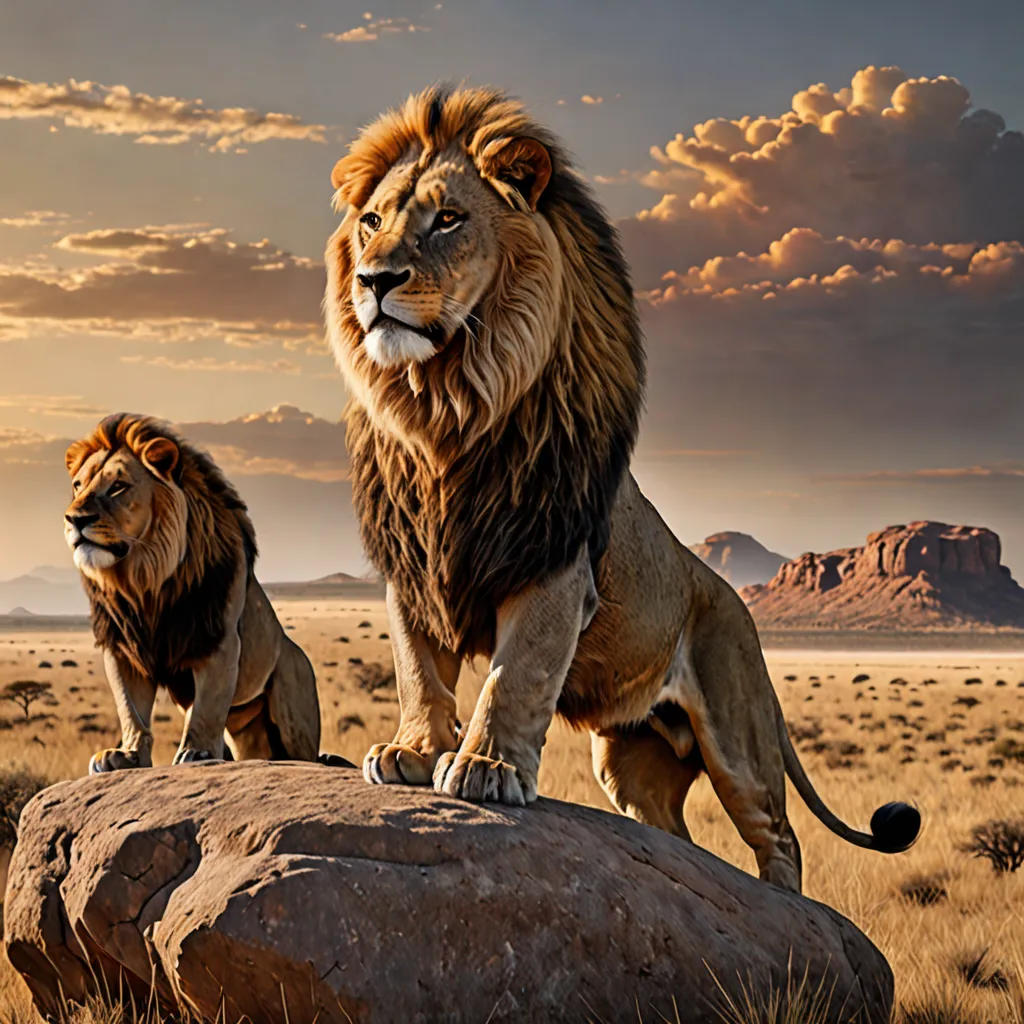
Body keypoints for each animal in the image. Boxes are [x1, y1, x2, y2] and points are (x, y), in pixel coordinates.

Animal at [64, 413, 321, 772]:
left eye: (118, 486)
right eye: (78, 485)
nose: (74, 519)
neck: (144, 580)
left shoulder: (218, 639)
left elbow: (207, 708)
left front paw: (197, 753)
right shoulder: (123, 647)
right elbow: (130, 709)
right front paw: (126, 755)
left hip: (292, 712)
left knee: (305, 753)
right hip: (248, 727)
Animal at [324, 85, 919, 891]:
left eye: (448, 219)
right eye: (372, 222)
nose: (374, 280)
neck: (447, 407)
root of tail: (735, 602)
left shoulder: (553, 562)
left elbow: (517, 671)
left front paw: (484, 768)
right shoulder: (413, 565)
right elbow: (419, 669)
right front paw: (412, 753)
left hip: (738, 736)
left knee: (780, 836)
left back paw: (788, 907)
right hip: (630, 759)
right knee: (673, 838)